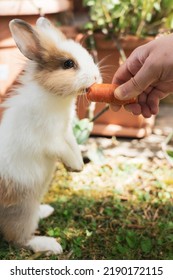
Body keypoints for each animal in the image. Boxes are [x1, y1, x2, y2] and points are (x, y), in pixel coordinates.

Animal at [0, 16, 101, 255]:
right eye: (68, 64)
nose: (95, 76)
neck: (54, 97)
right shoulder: (49, 141)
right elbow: (63, 150)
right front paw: (76, 166)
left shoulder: (67, 132)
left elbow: (73, 145)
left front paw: (78, 165)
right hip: (21, 208)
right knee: (18, 239)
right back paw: (50, 245)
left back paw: (45, 210)